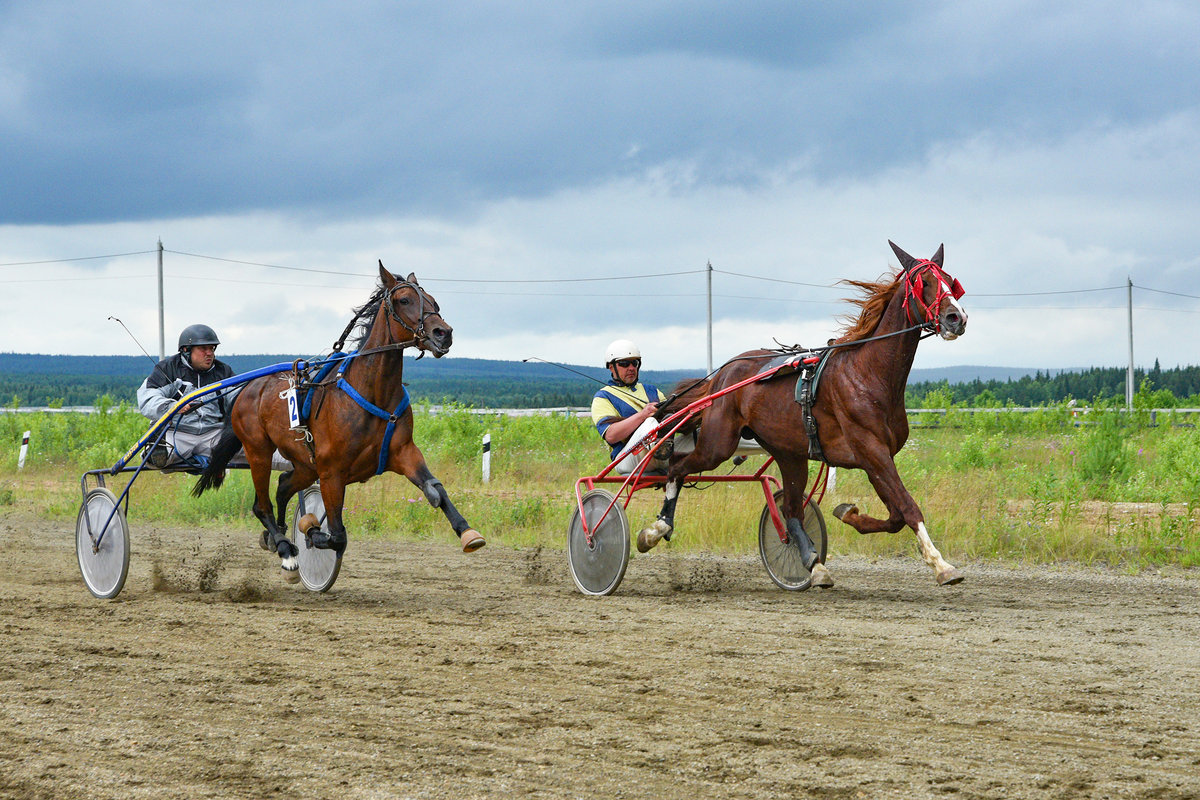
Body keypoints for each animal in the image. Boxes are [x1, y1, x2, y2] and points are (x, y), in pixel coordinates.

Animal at [192, 262, 482, 582]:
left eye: (434, 301)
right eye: (404, 300)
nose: (443, 333)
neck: (372, 392)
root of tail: (247, 388)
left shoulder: (404, 451)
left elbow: (435, 489)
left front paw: (468, 532)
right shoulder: (332, 471)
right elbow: (337, 535)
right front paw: (310, 530)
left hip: (305, 464)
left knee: (282, 485)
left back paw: (275, 537)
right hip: (258, 451)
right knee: (262, 505)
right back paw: (285, 551)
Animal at [648, 241, 964, 585]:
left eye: (950, 280)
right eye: (924, 283)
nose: (956, 317)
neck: (868, 373)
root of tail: (724, 372)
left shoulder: (879, 458)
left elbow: (895, 516)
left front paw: (849, 514)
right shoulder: (872, 452)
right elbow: (907, 507)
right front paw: (942, 565)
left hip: (789, 453)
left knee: (791, 511)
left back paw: (814, 563)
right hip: (717, 443)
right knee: (677, 467)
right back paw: (656, 528)